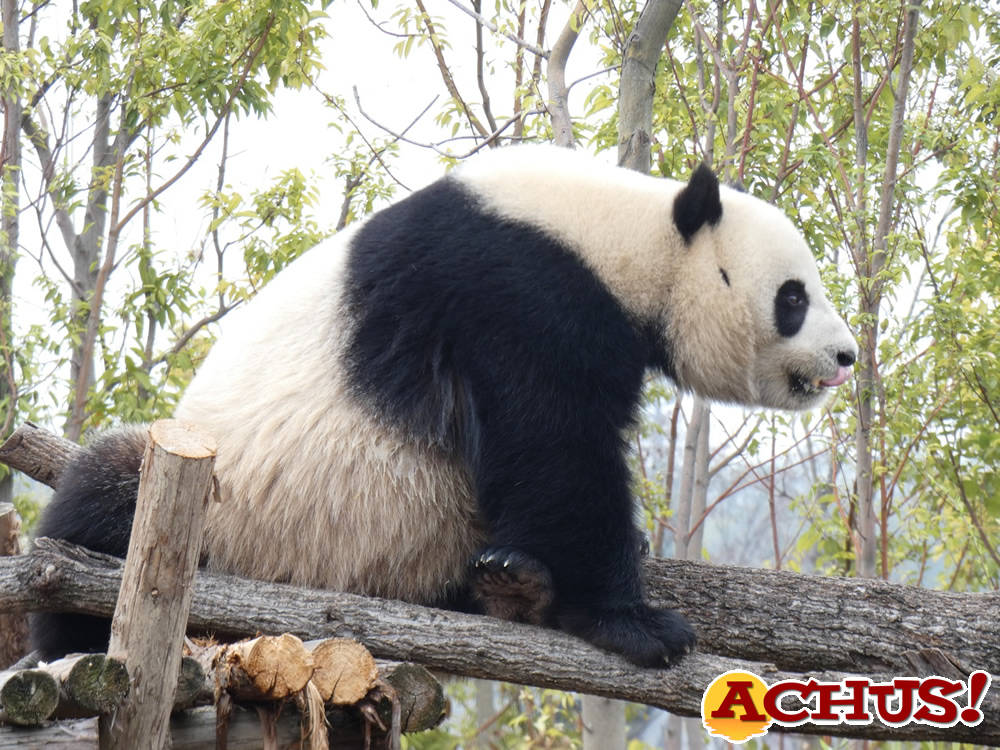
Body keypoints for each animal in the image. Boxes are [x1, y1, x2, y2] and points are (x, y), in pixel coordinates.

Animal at [33, 147, 860, 668]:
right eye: (793, 298)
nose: (846, 355)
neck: (627, 232)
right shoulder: (519, 293)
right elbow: (555, 450)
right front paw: (639, 624)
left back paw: (512, 584)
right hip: (223, 495)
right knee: (99, 503)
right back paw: (75, 638)